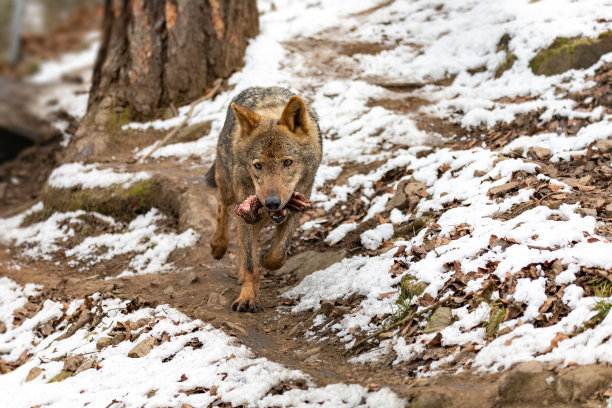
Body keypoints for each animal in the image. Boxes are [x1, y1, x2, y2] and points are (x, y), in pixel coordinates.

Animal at [207, 87, 322, 312]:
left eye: (287, 162)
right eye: (258, 165)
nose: (272, 203)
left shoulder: (298, 205)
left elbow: (279, 254)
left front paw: (266, 260)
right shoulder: (245, 210)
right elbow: (251, 263)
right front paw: (247, 297)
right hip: (228, 188)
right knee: (223, 208)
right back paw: (218, 245)